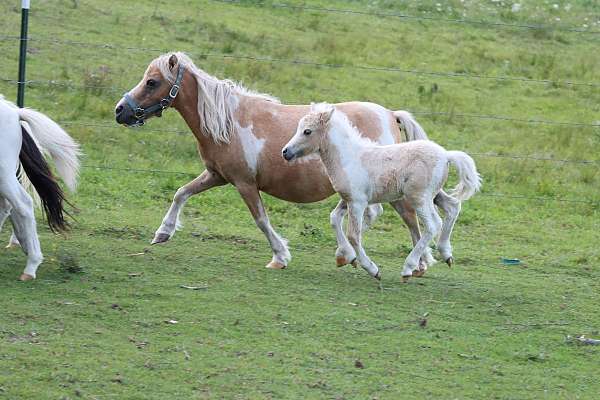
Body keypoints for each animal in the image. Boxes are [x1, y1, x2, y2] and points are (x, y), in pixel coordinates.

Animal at [116, 52, 436, 272]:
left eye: (152, 82)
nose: (120, 111)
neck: (229, 122)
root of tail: (390, 114)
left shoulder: (244, 182)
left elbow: (261, 220)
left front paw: (280, 256)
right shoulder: (216, 175)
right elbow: (181, 193)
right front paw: (163, 233)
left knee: (397, 217)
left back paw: (401, 261)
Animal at [282, 104, 482, 282]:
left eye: (307, 131)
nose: (285, 152)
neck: (349, 157)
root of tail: (446, 155)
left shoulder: (358, 202)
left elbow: (354, 235)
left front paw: (372, 269)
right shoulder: (348, 199)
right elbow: (334, 219)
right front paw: (345, 256)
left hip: (419, 198)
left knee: (433, 224)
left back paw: (408, 268)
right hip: (433, 195)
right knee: (452, 207)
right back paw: (446, 253)